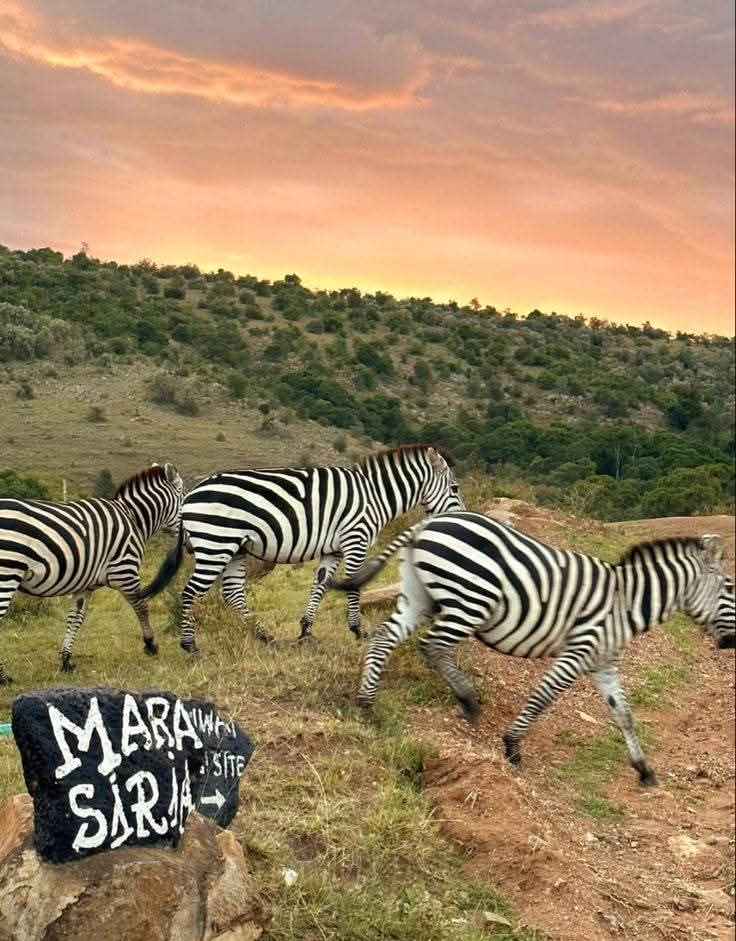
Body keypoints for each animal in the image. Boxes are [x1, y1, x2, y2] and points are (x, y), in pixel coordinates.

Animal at [0, 463, 184, 683]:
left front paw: (66, 660)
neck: (133, 517)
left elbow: (75, 618)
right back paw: (3, 677)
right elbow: (141, 606)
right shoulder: (125, 570)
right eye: (184, 496)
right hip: (7, 572)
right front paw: (151, 645)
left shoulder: (84, 585)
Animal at [140, 445, 463, 652]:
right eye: (456, 489)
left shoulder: (333, 549)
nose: (460, 518)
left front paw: (306, 631)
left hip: (235, 548)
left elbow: (319, 586)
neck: (374, 496)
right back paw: (189, 644)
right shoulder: (355, 539)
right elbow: (355, 586)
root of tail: (189, 496)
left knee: (232, 594)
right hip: (216, 544)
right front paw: (358, 630)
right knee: (190, 592)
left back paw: (264, 636)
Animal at [332, 511, 735, 785]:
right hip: (469, 600)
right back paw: (468, 700)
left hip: (421, 596)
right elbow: (542, 698)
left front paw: (644, 769)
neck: (626, 601)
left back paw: (366, 704)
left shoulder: (605, 662)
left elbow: (623, 715)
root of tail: (428, 523)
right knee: (432, 646)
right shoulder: (578, 651)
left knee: (385, 637)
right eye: (730, 590)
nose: (731, 643)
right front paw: (512, 747)